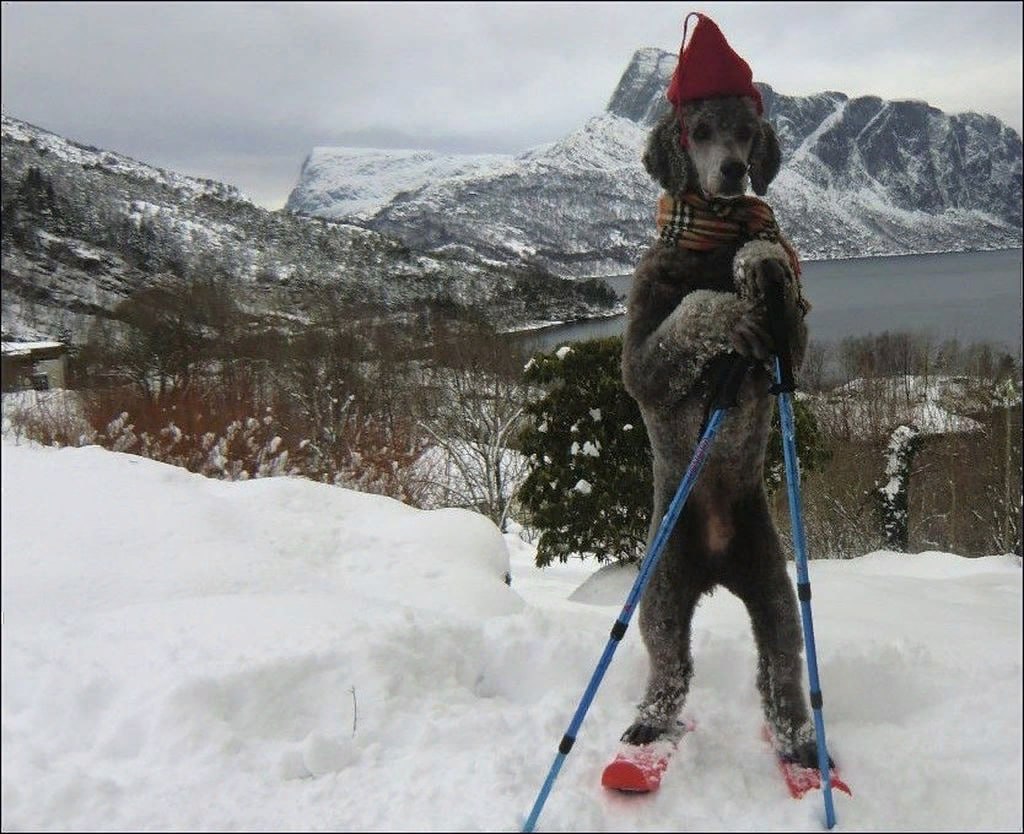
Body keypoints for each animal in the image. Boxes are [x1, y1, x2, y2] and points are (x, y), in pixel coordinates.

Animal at [614, 14, 823, 770]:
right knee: (670, 668)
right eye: (700, 130)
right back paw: (647, 736)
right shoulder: (641, 364)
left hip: (774, 589)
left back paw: (799, 746)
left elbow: (769, 277)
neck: (707, 240)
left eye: (745, 131)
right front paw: (727, 308)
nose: (734, 171)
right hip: (662, 593)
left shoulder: (791, 344)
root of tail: (715, 559)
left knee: (783, 672)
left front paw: (756, 262)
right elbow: (694, 311)